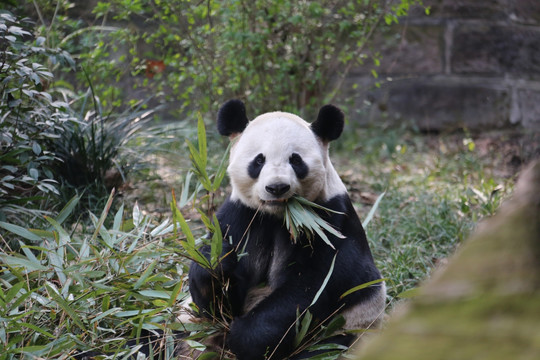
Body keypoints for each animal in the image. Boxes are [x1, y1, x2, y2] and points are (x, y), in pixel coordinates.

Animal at [188, 99, 386, 360]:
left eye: (296, 160)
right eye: (259, 160)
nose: (277, 187)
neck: (278, 215)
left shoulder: (327, 222)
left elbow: (310, 289)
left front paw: (244, 337)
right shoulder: (240, 216)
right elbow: (216, 304)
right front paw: (217, 259)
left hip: (350, 330)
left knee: (325, 349)